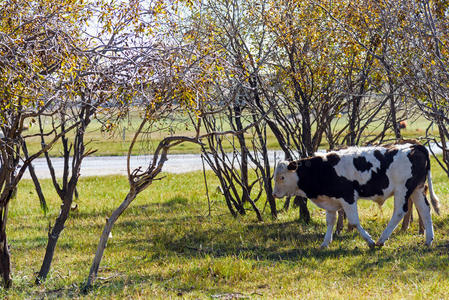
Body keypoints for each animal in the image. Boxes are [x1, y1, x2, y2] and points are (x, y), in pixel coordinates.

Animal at [272, 143, 440, 248]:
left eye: (282, 177)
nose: (274, 194)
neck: (324, 168)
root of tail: (413, 146)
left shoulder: (348, 197)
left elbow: (353, 221)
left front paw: (369, 241)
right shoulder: (330, 201)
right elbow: (330, 221)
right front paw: (325, 243)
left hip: (403, 189)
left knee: (399, 212)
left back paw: (381, 240)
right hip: (417, 189)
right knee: (425, 209)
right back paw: (428, 240)